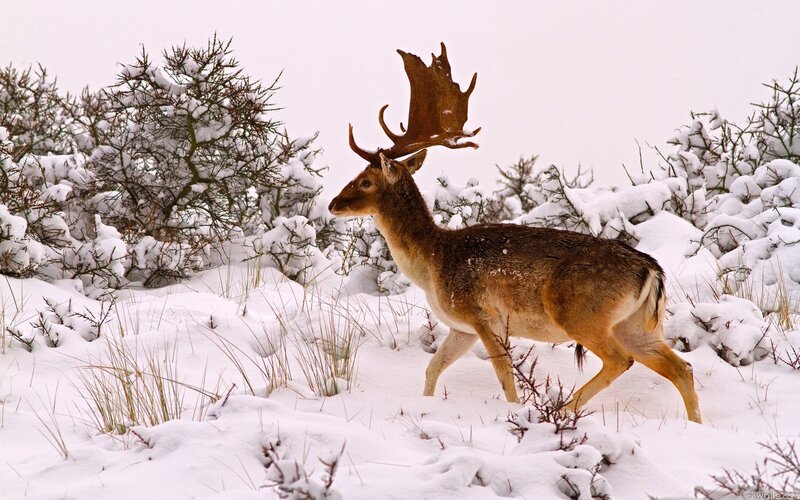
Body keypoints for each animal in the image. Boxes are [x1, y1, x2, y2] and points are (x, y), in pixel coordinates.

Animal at [328, 43, 702, 423]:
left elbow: (504, 375)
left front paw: (513, 410)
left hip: (582, 314)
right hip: (638, 326)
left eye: (365, 181)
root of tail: (652, 271)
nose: (333, 204)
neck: (433, 263)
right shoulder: (460, 327)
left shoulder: (482, 315)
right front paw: (426, 405)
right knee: (681, 368)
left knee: (620, 360)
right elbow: (433, 368)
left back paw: (563, 410)